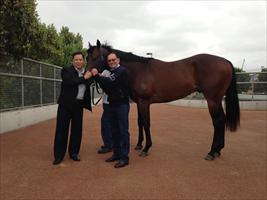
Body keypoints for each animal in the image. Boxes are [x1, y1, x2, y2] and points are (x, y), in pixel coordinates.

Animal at [87, 39, 242, 160]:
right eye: (87, 57)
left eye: (96, 57)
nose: (86, 75)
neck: (138, 70)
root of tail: (225, 61)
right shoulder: (139, 102)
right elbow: (140, 123)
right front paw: (139, 145)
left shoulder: (144, 102)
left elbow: (146, 123)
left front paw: (146, 148)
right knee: (221, 120)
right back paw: (217, 150)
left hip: (212, 99)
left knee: (218, 121)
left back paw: (212, 152)